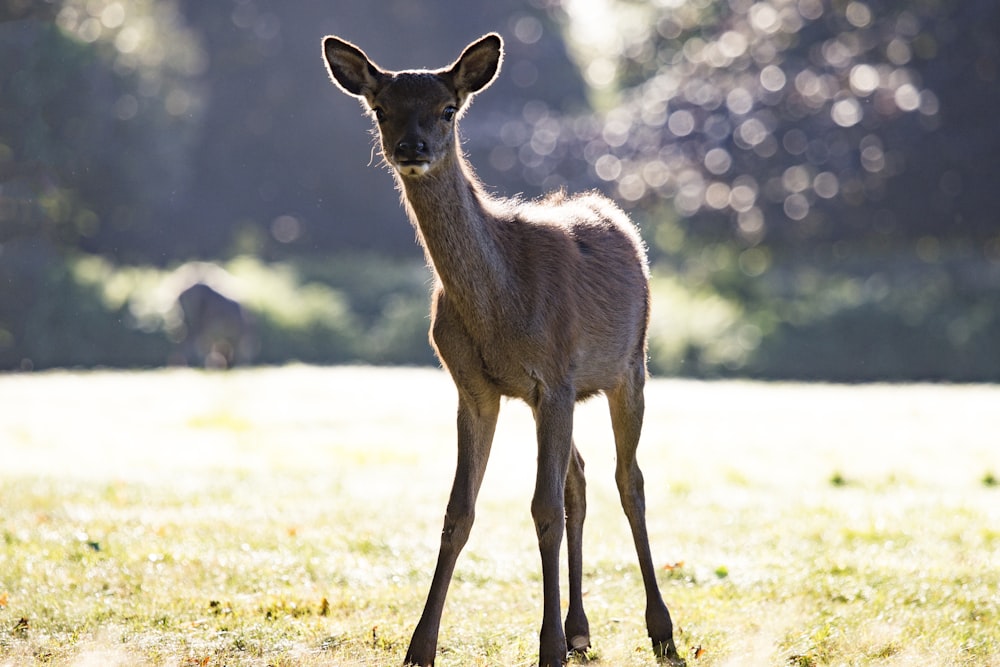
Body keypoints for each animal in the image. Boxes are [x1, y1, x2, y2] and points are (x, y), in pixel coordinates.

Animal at [324, 32, 684, 667]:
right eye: (381, 108)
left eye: (448, 108)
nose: (411, 147)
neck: (501, 304)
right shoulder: (475, 388)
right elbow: (459, 511)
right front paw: (420, 647)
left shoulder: (555, 376)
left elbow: (542, 509)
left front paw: (547, 648)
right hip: (568, 396)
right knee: (580, 478)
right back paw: (581, 630)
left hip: (630, 366)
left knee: (629, 479)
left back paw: (660, 629)